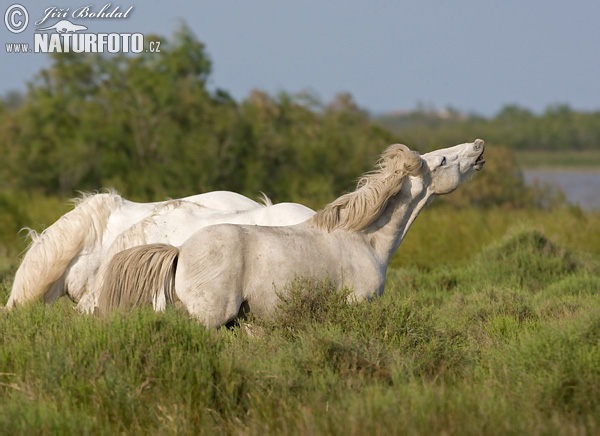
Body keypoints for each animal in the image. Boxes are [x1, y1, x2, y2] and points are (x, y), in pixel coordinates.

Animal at [96, 138, 486, 326]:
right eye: (442, 160)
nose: (479, 146)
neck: (362, 240)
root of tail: (180, 251)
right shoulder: (357, 306)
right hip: (211, 318)